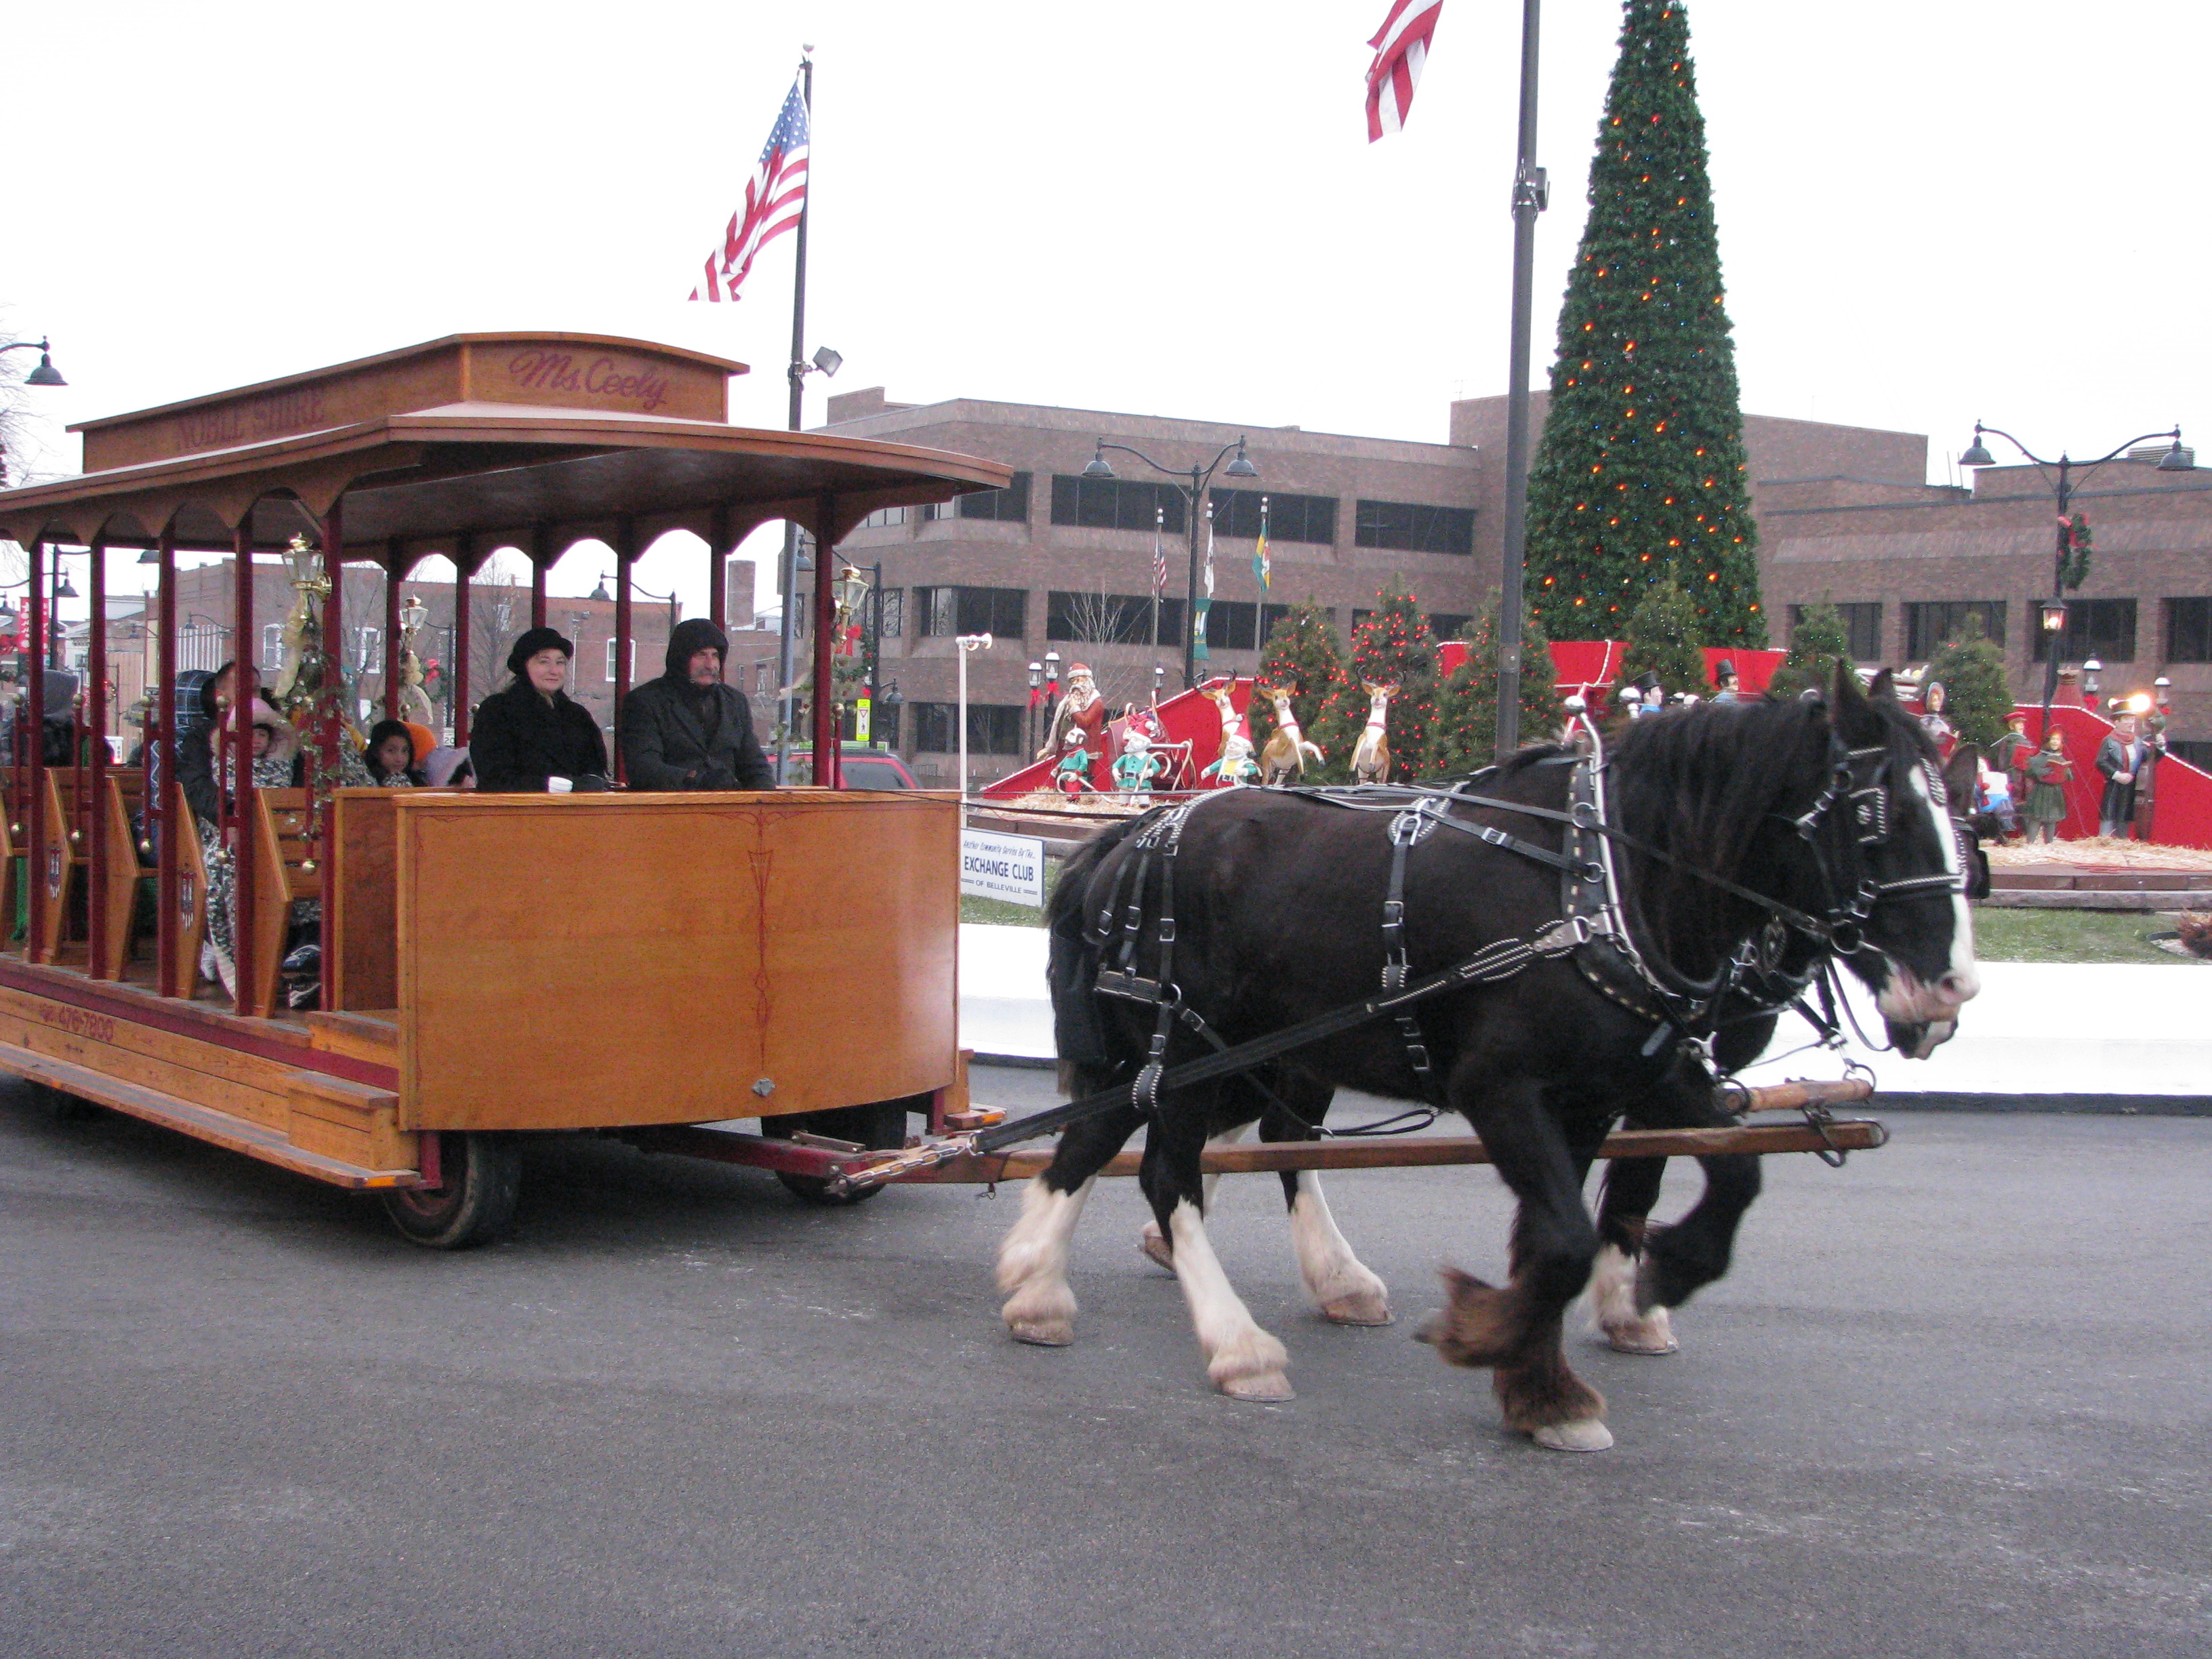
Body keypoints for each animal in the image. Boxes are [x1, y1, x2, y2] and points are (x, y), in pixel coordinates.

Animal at [995, 672, 1982, 1451]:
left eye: (1961, 825)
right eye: (1879, 819)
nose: (1951, 987)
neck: (1604, 886)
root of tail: (1129, 839)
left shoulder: (1618, 1084)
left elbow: (1689, 1189)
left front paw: (1606, 1327)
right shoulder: (1502, 1089)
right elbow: (1568, 1238)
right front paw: (1500, 1338)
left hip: (1203, 1057)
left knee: (1098, 1143)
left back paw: (1039, 1286)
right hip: (1195, 1050)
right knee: (1169, 1172)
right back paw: (1237, 1345)